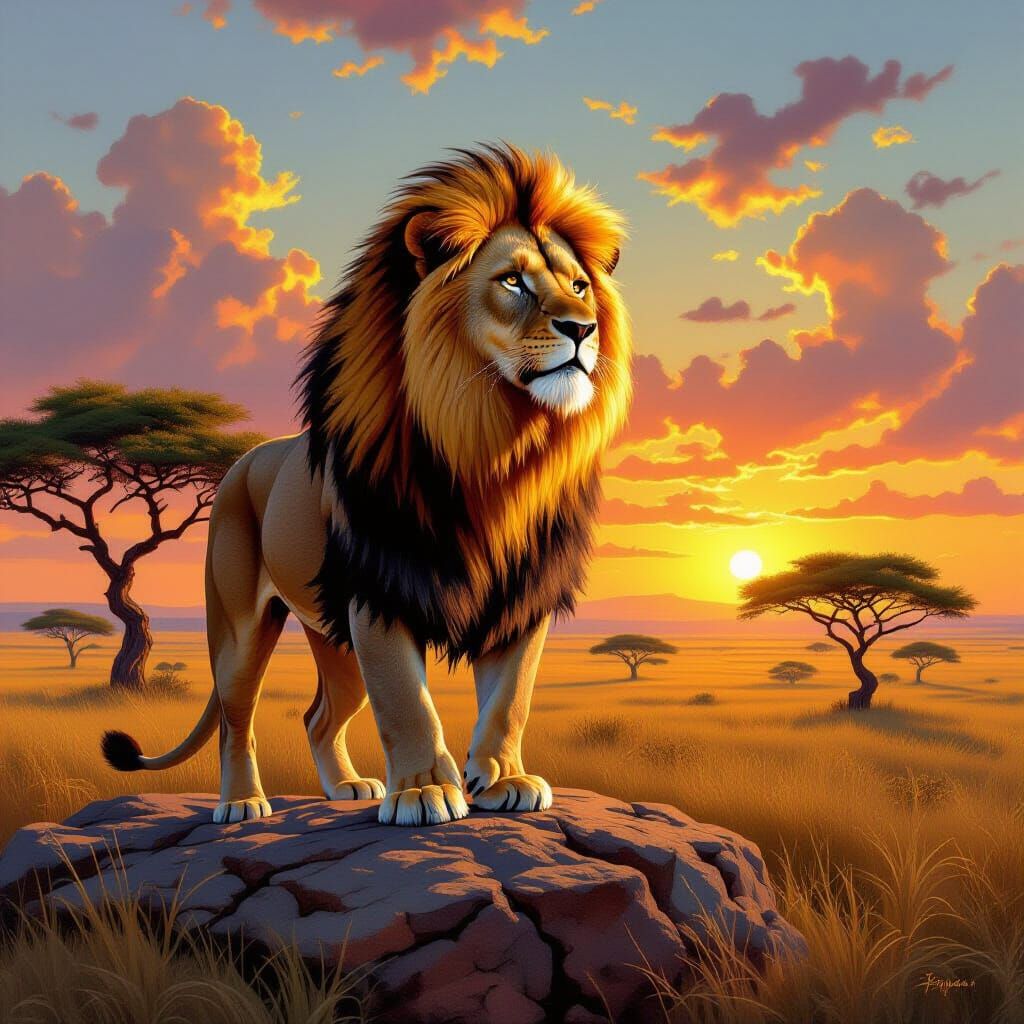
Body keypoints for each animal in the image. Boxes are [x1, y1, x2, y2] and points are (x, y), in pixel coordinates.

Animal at [102, 144, 631, 827]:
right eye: (512, 281)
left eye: (579, 286)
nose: (582, 328)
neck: (493, 449)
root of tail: (245, 461)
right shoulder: (378, 589)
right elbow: (406, 700)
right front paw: (425, 791)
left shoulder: (522, 594)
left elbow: (510, 698)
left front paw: (503, 778)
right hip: (241, 628)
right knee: (235, 719)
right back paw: (242, 803)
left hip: (335, 641)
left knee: (318, 716)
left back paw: (347, 787)